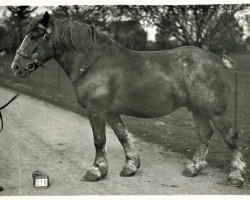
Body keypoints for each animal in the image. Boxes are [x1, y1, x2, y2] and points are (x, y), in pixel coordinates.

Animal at [10, 11, 245, 185]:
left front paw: (95, 171)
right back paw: (194, 168)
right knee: (205, 135)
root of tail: (219, 61)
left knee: (230, 136)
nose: (16, 67)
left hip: (214, 110)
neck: (93, 63)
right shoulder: (111, 111)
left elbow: (99, 140)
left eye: (34, 36)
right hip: (198, 109)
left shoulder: (96, 110)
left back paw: (235, 176)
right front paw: (130, 166)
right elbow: (122, 135)